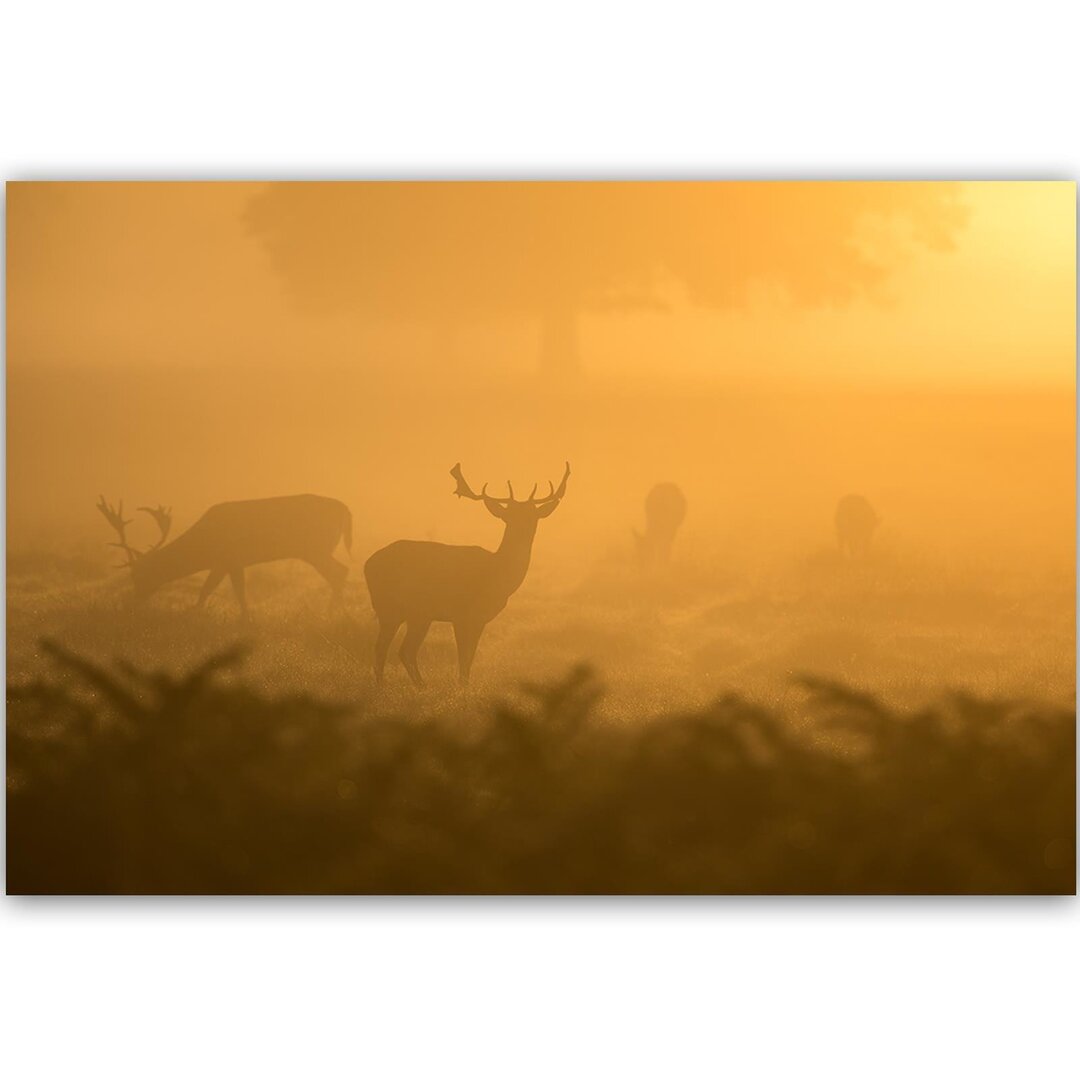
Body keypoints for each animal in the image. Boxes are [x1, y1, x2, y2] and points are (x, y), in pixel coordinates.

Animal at [95, 494, 352, 617]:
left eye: (139, 575)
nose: (131, 604)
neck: (204, 546)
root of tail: (345, 509)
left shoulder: (230, 558)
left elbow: (227, 590)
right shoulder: (224, 563)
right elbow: (214, 589)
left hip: (315, 548)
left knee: (339, 571)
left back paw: (331, 614)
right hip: (316, 549)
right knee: (340, 571)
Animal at [362, 462, 570, 682]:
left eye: (533, 515)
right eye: (509, 515)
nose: (523, 530)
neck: (498, 575)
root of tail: (367, 564)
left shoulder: (480, 619)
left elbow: (469, 658)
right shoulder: (462, 614)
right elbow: (463, 658)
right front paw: (462, 686)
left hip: (417, 614)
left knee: (404, 650)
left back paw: (418, 685)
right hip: (390, 607)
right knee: (384, 649)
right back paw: (386, 684)